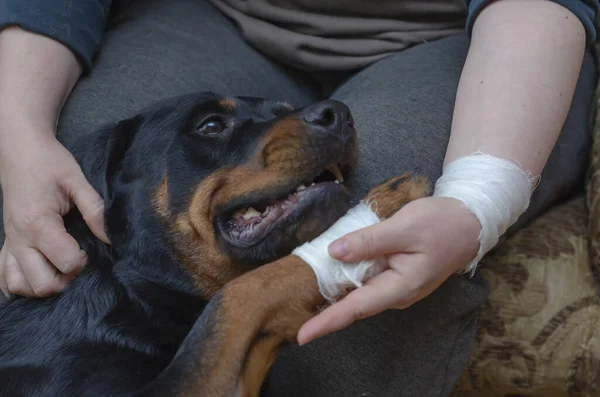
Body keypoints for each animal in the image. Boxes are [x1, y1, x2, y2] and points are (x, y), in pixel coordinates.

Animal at [0, 91, 428, 394]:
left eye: (285, 109)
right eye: (210, 125)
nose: (338, 114)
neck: (137, 298)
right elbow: (238, 296)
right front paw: (389, 201)